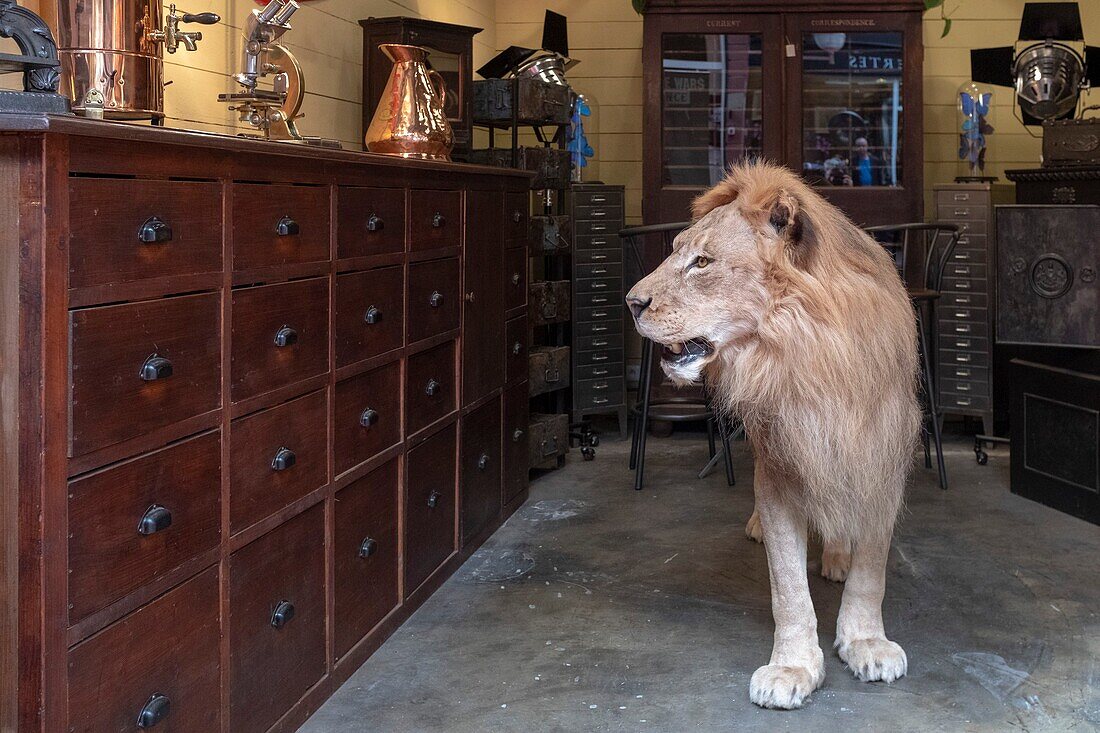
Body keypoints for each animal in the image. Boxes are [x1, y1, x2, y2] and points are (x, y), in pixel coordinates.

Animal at [629, 161, 919, 708]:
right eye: (676, 250)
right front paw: (793, 667)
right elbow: (788, 587)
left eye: (702, 262)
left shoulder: (881, 454)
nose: (631, 303)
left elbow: (872, 567)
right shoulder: (782, 463)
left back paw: (836, 555)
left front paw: (866, 641)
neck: (804, 354)